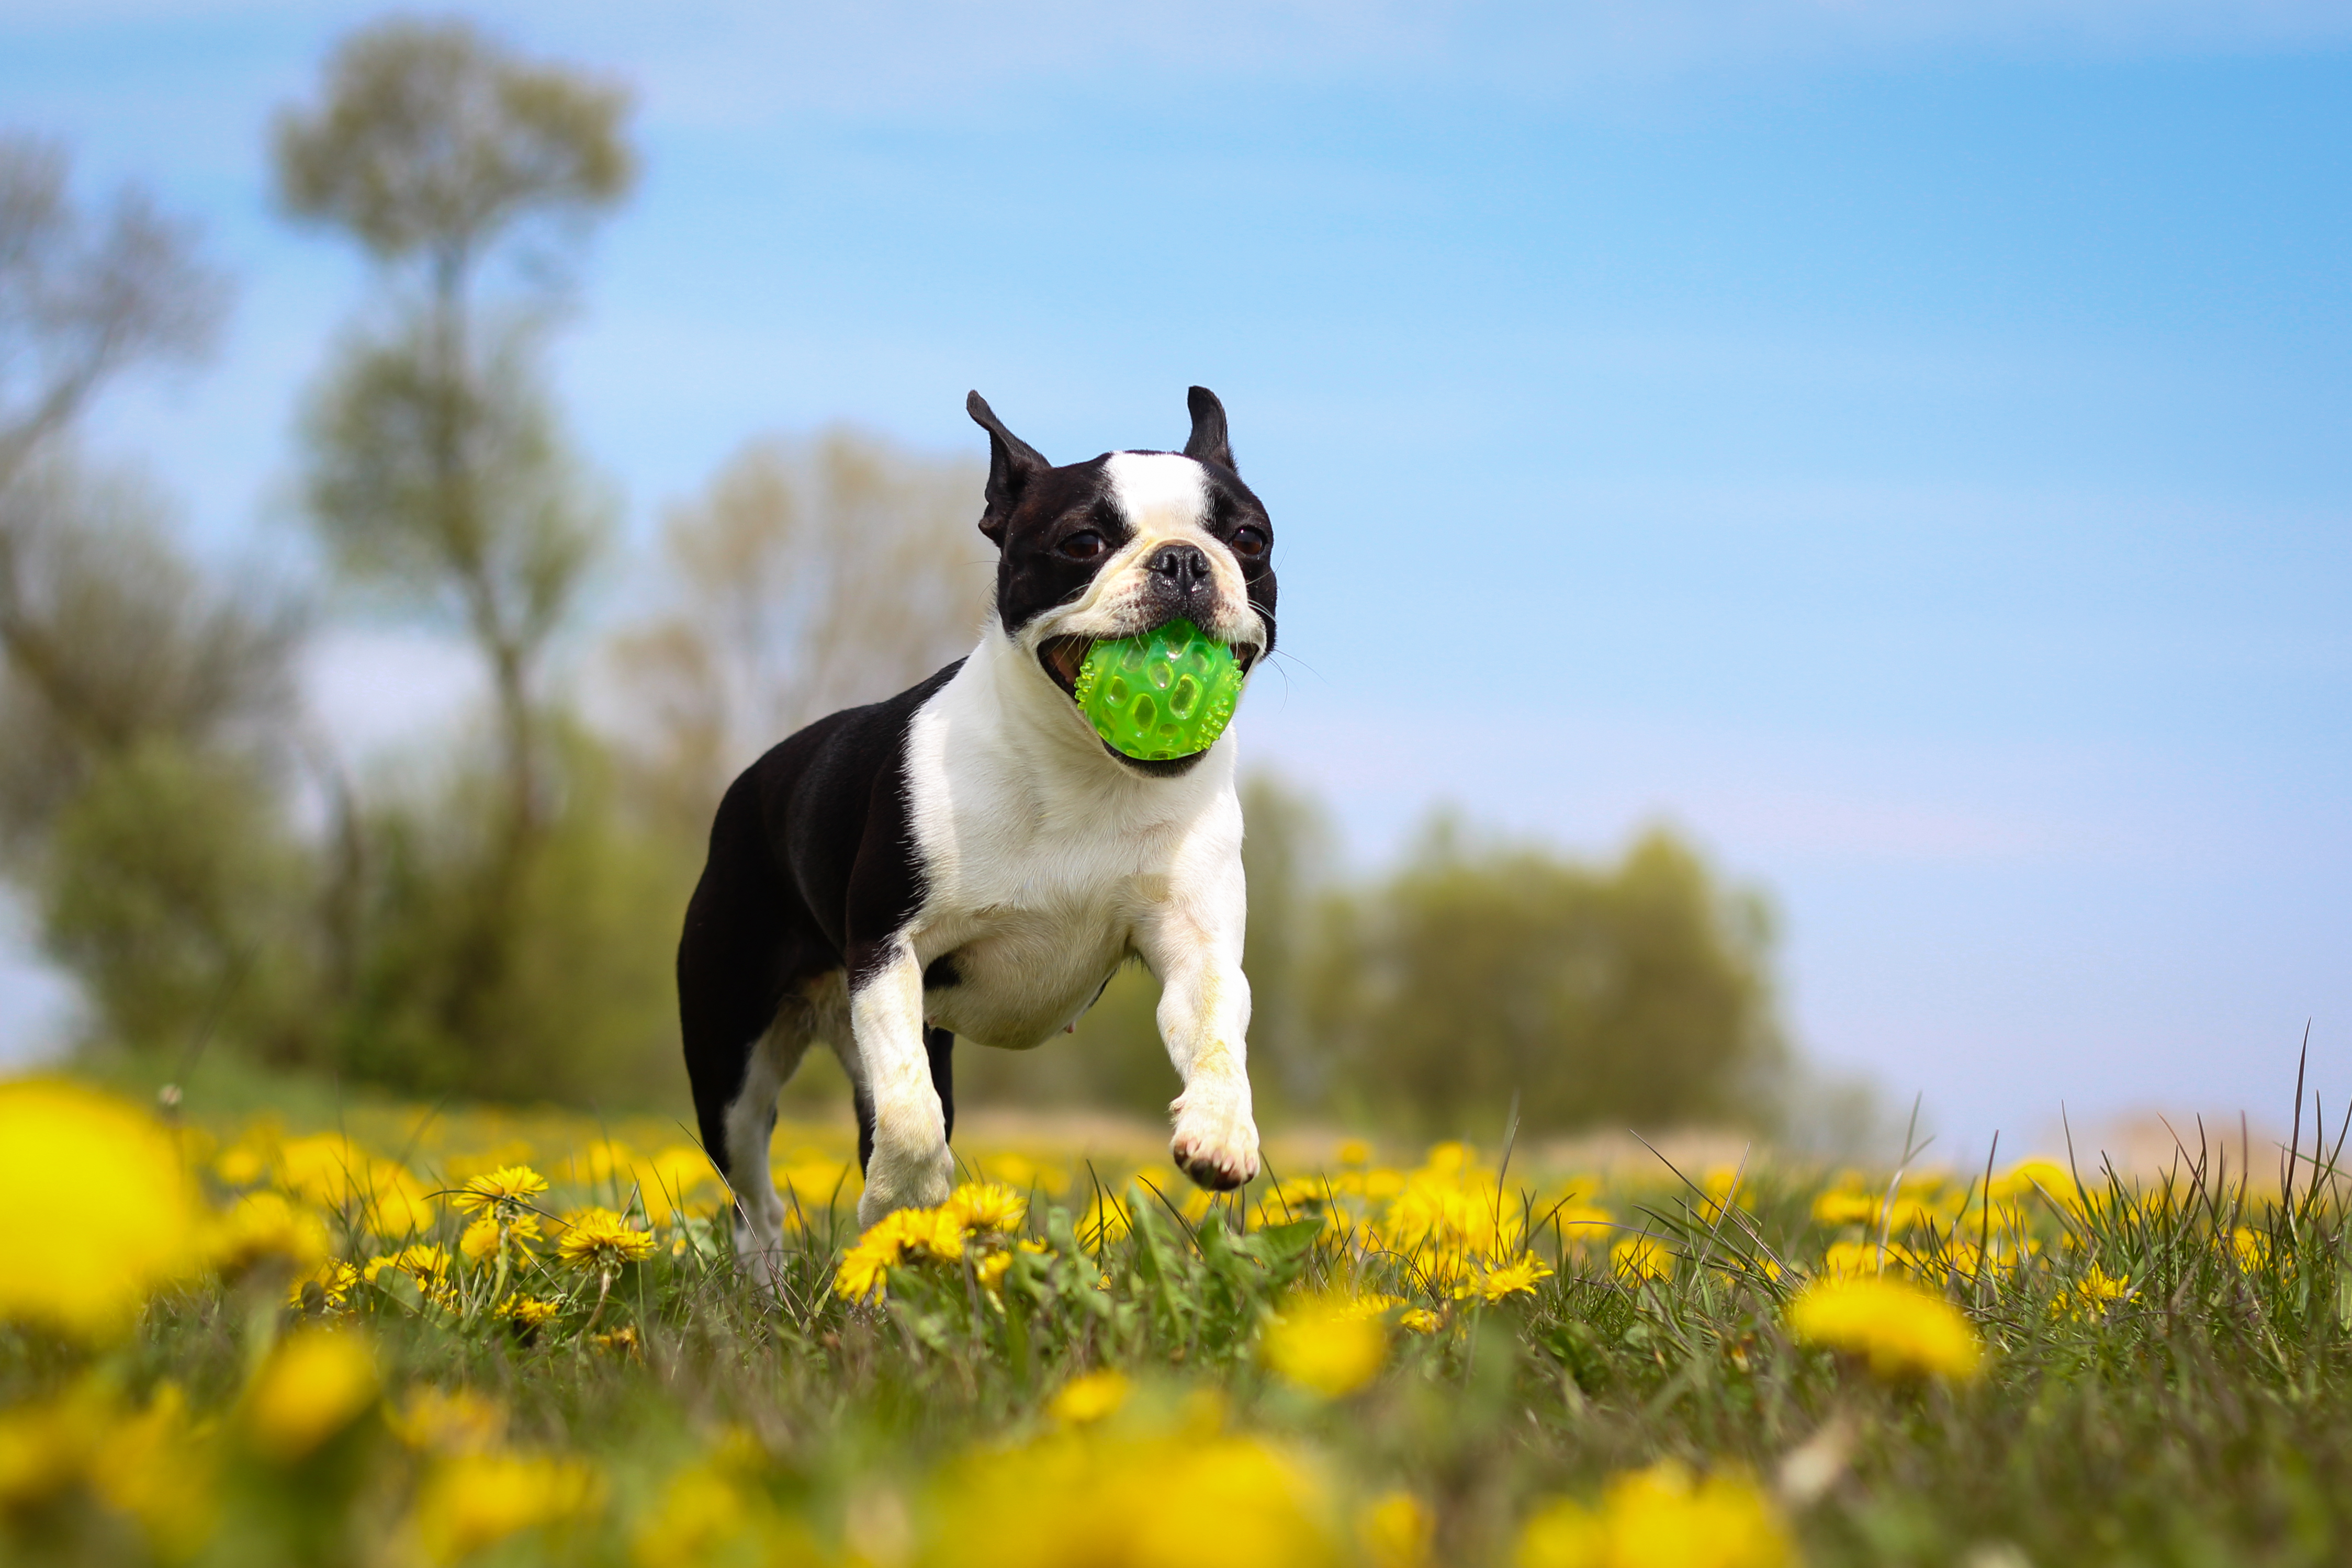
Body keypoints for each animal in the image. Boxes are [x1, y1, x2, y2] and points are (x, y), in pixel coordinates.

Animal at [672, 392, 1279, 1260]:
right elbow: (911, 1112)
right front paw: (907, 1196)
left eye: (1249, 538)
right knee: (756, 1199)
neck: (1083, 770)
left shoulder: (1196, 948)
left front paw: (1222, 1128)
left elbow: (1216, 1034)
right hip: (731, 1057)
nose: (1183, 561)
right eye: (1082, 542)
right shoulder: (887, 952)